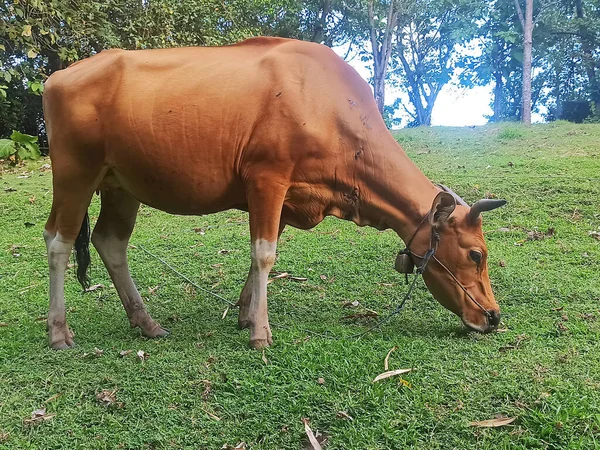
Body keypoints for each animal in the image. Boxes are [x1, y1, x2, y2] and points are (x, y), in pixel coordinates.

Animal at [39, 37, 504, 350]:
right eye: (475, 255)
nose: (493, 317)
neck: (328, 106)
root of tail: (58, 76)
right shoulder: (267, 179)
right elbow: (264, 254)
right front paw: (261, 332)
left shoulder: (284, 197)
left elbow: (261, 255)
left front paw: (246, 315)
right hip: (75, 174)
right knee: (58, 241)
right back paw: (59, 331)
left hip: (120, 185)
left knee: (110, 242)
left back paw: (146, 322)